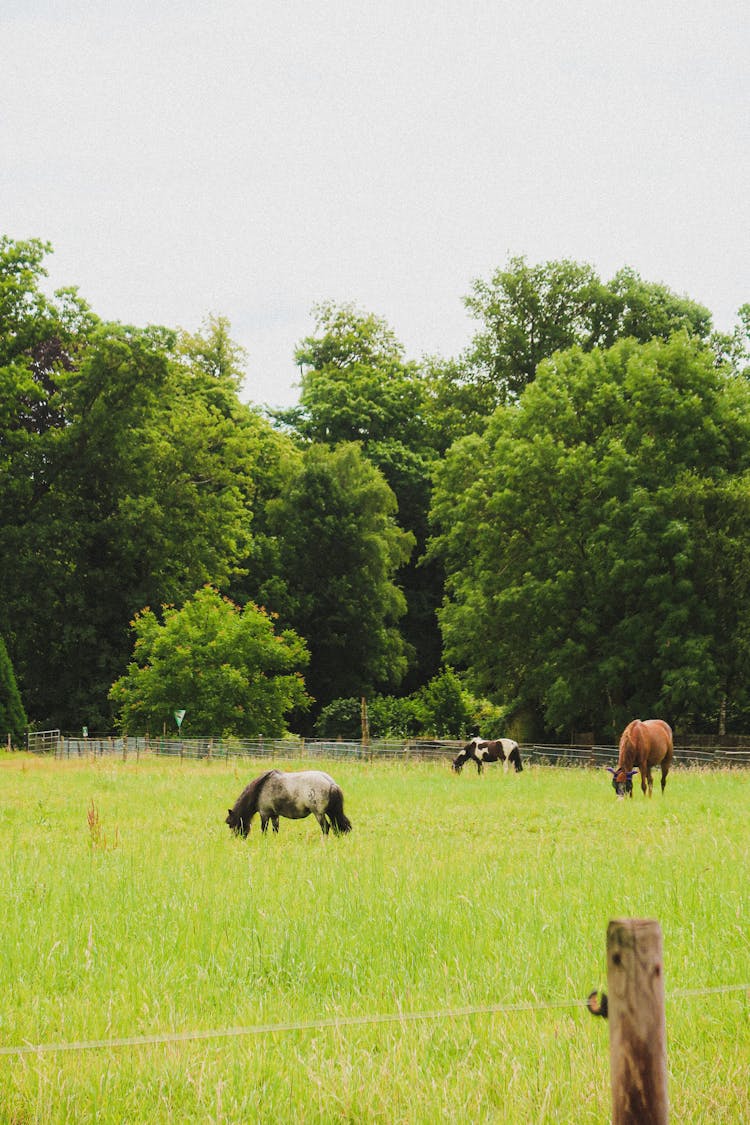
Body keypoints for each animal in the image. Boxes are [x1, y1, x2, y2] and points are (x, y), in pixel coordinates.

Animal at [224, 769, 353, 841]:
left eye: (231, 824)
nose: (237, 840)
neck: (260, 788)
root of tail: (331, 783)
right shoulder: (274, 815)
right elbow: (275, 829)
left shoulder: (264, 814)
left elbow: (264, 829)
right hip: (331, 812)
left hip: (319, 814)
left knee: (326, 827)